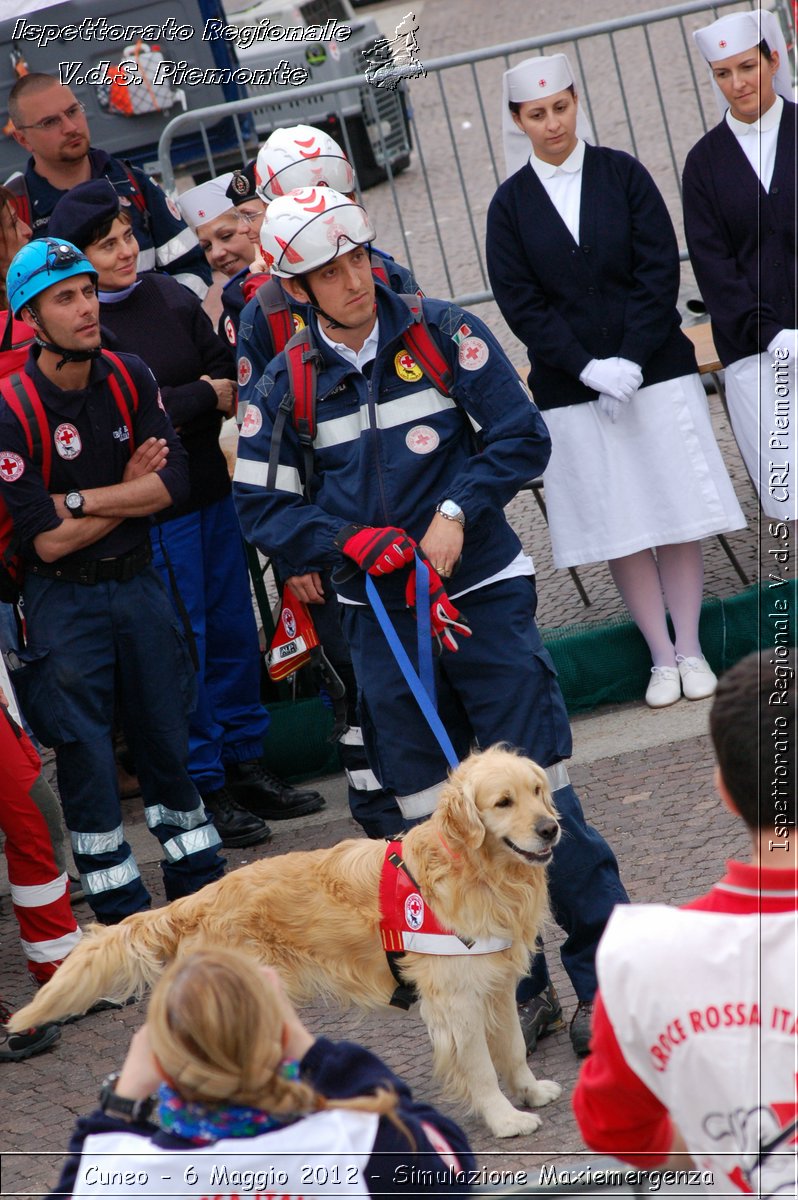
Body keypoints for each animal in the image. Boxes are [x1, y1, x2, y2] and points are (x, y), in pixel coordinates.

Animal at [10, 748, 559, 1132]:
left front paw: (529, 1092)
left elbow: (512, 1048)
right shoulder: (455, 1000)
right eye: (502, 802)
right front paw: (505, 1120)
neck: (479, 873)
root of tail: (194, 902)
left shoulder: (496, 986)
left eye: (537, 790)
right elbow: (482, 1068)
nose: (551, 828)